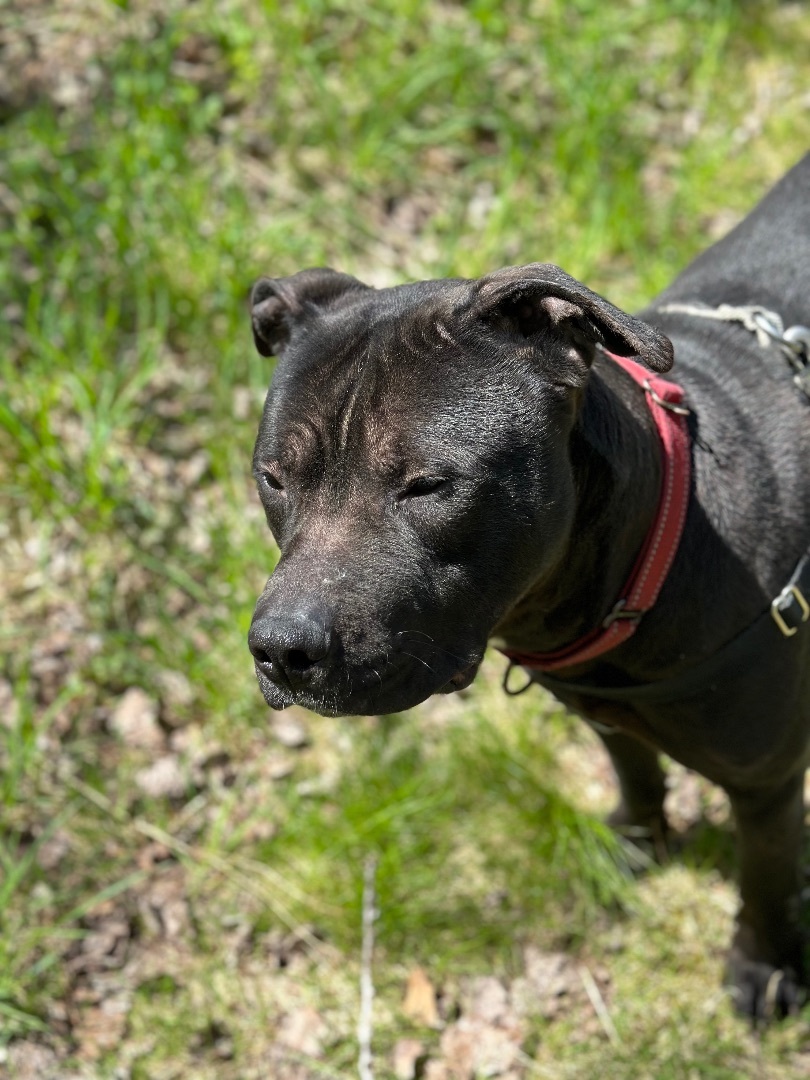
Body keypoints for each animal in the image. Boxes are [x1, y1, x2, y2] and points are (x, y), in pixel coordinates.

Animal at [247, 156, 810, 1015]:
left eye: (427, 485)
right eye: (273, 479)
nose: (281, 649)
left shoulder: (768, 786)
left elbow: (766, 879)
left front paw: (763, 967)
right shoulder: (605, 712)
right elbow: (636, 771)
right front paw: (636, 845)